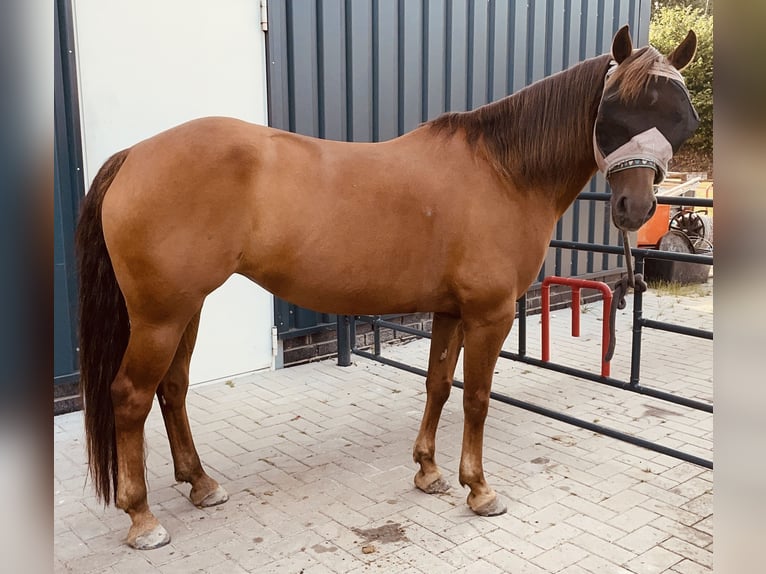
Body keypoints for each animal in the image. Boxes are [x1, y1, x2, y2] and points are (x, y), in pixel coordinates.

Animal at [76, 25, 698, 549]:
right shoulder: (490, 314)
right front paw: (480, 490)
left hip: (186, 308)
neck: (503, 172)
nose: (634, 208)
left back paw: (201, 484)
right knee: (131, 396)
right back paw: (143, 518)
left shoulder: (451, 311)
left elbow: (438, 385)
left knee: (173, 388)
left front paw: (429, 471)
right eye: (614, 112)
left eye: (679, 119)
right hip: (160, 314)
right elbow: (476, 397)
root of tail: (133, 155)